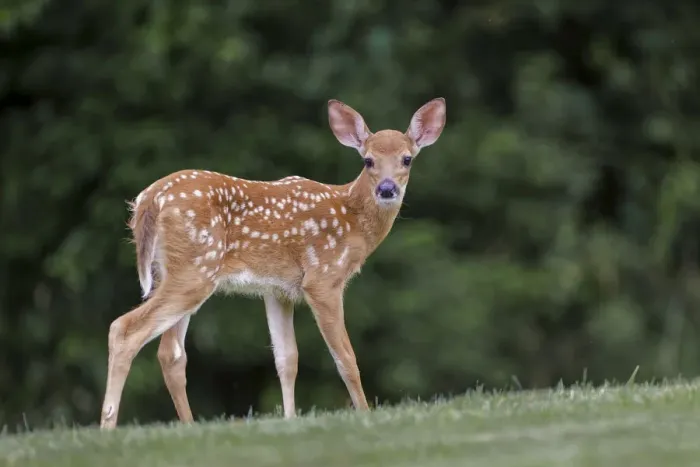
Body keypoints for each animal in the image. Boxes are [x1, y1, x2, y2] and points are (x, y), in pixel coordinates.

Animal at [99, 97, 447, 429]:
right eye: (368, 160)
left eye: (407, 158)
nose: (387, 189)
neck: (352, 219)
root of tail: (148, 201)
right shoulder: (323, 278)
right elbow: (345, 358)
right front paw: (364, 414)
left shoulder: (277, 290)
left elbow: (286, 358)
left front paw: (290, 420)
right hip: (194, 269)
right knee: (124, 329)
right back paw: (108, 426)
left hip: (171, 273)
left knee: (170, 353)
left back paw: (187, 426)